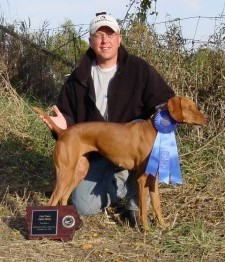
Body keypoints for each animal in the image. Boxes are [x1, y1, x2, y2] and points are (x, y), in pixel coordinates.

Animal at [34, 96, 207, 229]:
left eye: (194, 106)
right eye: (189, 108)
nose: (205, 119)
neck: (155, 130)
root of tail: (63, 132)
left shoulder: (153, 179)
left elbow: (157, 204)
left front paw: (163, 225)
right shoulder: (142, 178)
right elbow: (143, 207)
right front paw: (146, 229)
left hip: (79, 171)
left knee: (63, 198)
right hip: (65, 173)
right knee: (53, 200)